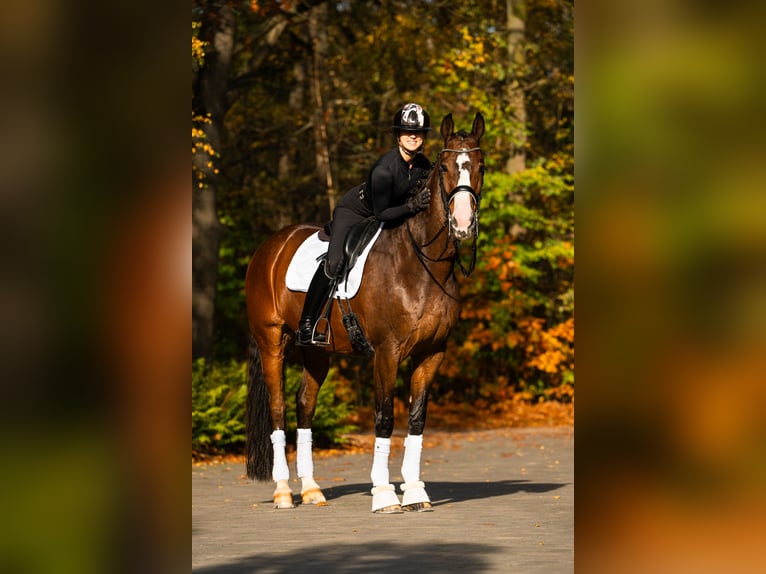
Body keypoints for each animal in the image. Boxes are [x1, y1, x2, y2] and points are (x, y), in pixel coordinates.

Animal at [244, 112, 485, 513]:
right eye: (446, 167)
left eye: (480, 166)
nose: (463, 224)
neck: (422, 264)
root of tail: (268, 248)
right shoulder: (387, 353)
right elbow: (385, 417)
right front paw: (385, 494)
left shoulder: (432, 353)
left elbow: (416, 420)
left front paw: (415, 491)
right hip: (271, 342)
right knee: (278, 410)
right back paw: (283, 492)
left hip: (316, 350)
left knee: (305, 406)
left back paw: (311, 489)